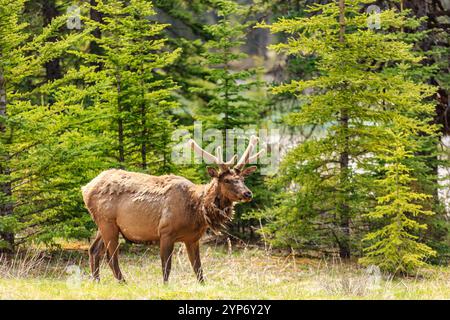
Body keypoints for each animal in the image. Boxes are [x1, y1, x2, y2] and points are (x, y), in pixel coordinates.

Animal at [81, 135, 264, 282]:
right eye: (227, 180)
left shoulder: (192, 239)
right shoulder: (165, 232)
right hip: (108, 222)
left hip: (104, 224)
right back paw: (123, 282)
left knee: (94, 250)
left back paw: (96, 281)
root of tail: (85, 189)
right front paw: (165, 286)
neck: (197, 212)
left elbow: (198, 270)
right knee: (111, 255)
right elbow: (166, 268)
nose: (248, 193)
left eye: (242, 179)